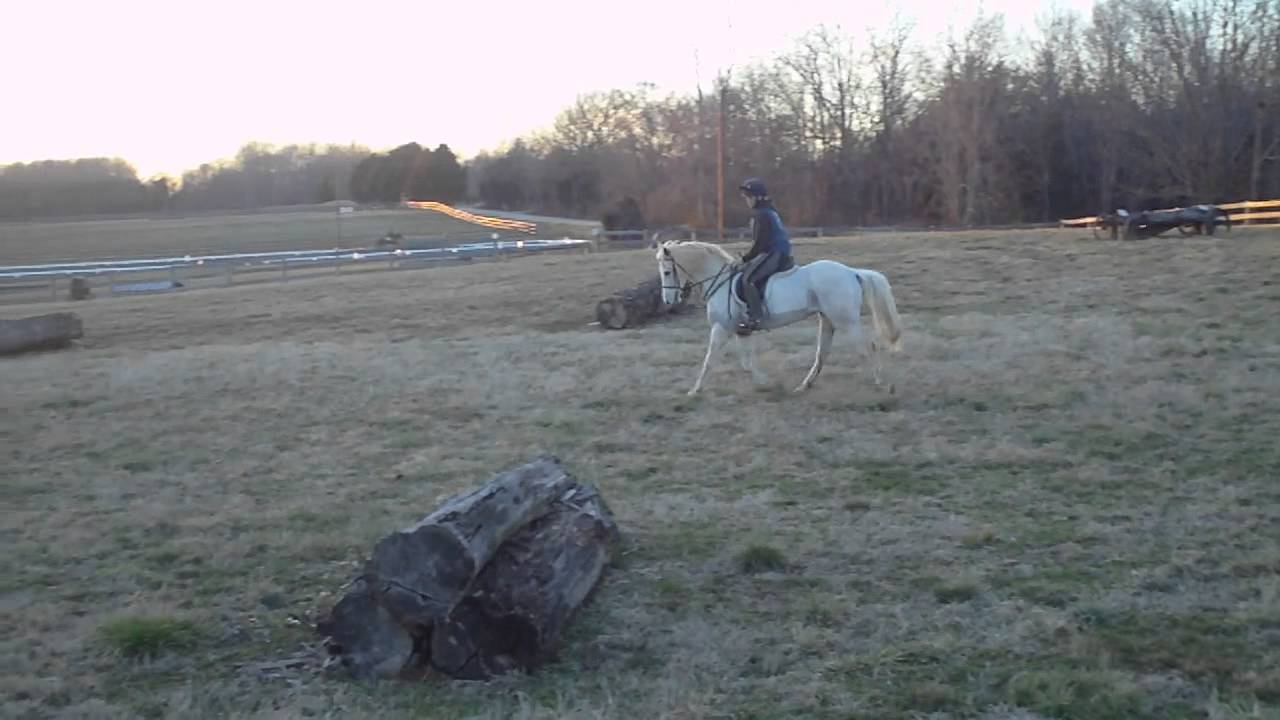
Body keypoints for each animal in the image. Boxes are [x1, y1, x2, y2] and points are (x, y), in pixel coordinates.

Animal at [655, 240, 903, 396]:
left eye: (667, 272)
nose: (667, 302)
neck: (721, 281)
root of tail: (852, 272)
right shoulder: (742, 331)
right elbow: (746, 362)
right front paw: (765, 383)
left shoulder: (721, 328)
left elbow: (709, 360)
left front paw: (694, 391)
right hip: (827, 320)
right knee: (822, 354)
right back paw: (804, 386)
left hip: (846, 322)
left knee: (867, 347)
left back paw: (884, 385)